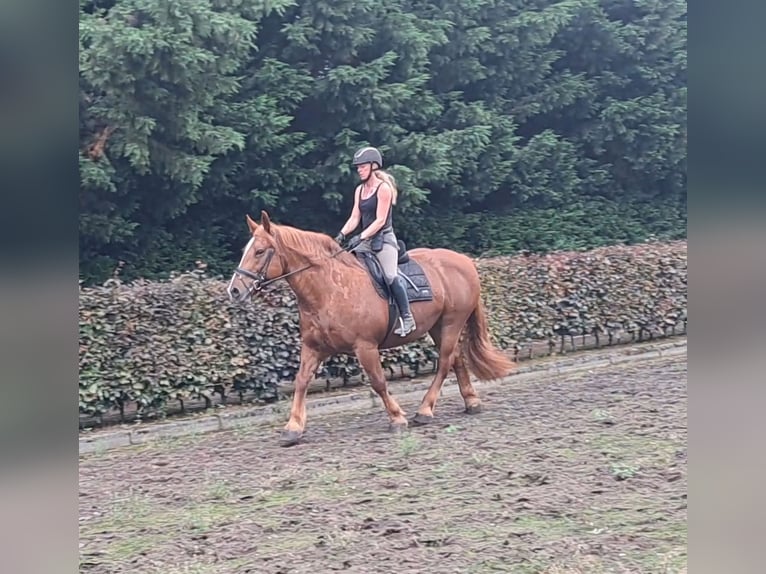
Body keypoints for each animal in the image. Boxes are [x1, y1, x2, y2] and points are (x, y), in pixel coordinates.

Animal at [226, 213, 516, 450]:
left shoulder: (365, 347)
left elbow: (378, 382)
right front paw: (293, 428)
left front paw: (397, 418)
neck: (329, 289)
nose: (234, 290)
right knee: (456, 359)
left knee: (445, 363)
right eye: (246, 250)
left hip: (452, 323)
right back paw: (471, 402)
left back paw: (424, 410)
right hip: (438, 327)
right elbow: (301, 382)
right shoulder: (313, 347)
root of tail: (463, 261)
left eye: (260, 251)